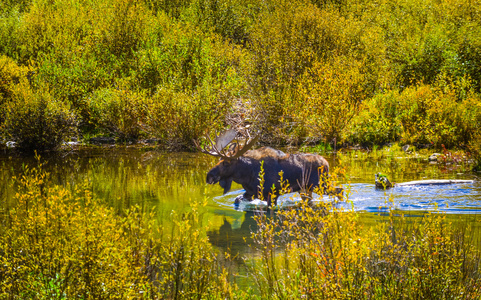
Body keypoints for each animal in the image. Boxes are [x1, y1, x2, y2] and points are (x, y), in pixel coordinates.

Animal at [193, 129, 328, 206]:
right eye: (219, 160)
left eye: (226, 163)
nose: (209, 176)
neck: (246, 175)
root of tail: (326, 163)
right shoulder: (252, 193)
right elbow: (237, 199)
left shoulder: (272, 194)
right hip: (305, 189)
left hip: (320, 186)